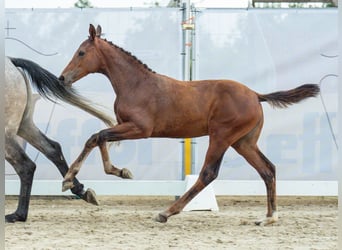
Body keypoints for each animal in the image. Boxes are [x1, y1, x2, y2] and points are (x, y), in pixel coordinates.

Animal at [5, 57, 116, 223]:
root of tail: (10, 62)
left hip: (8, 132)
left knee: (26, 165)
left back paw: (19, 215)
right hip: (24, 124)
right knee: (53, 149)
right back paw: (81, 191)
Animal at [59, 24, 320, 226]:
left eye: (81, 52)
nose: (62, 78)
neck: (136, 84)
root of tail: (256, 95)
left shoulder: (140, 129)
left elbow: (97, 136)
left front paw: (72, 178)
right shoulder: (124, 125)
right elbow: (99, 138)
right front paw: (114, 173)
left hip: (221, 137)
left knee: (208, 173)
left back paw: (166, 212)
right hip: (243, 142)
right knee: (267, 170)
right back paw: (269, 217)